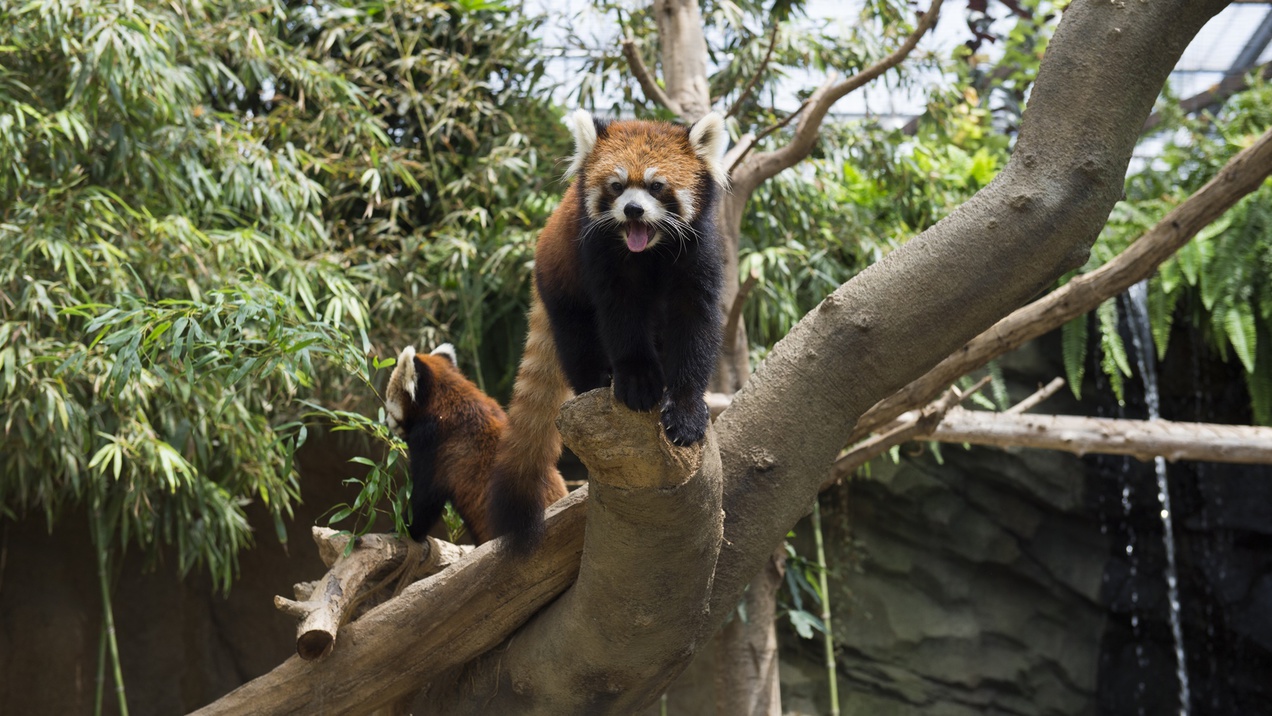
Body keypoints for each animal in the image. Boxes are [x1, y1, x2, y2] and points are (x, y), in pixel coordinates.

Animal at [379, 343, 564, 544]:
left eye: (388, 403)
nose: (385, 422)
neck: (443, 399)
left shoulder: (431, 442)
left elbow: (426, 498)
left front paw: (405, 530)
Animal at [485, 109, 727, 551]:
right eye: (616, 186)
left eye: (656, 186)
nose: (632, 210)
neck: (651, 250)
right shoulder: (600, 256)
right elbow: (621, 319)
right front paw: (637, 383)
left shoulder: (698, 254)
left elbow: (694, 328)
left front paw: (686, 411)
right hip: (561, 284)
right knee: (578, 340)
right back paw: (597, 382)